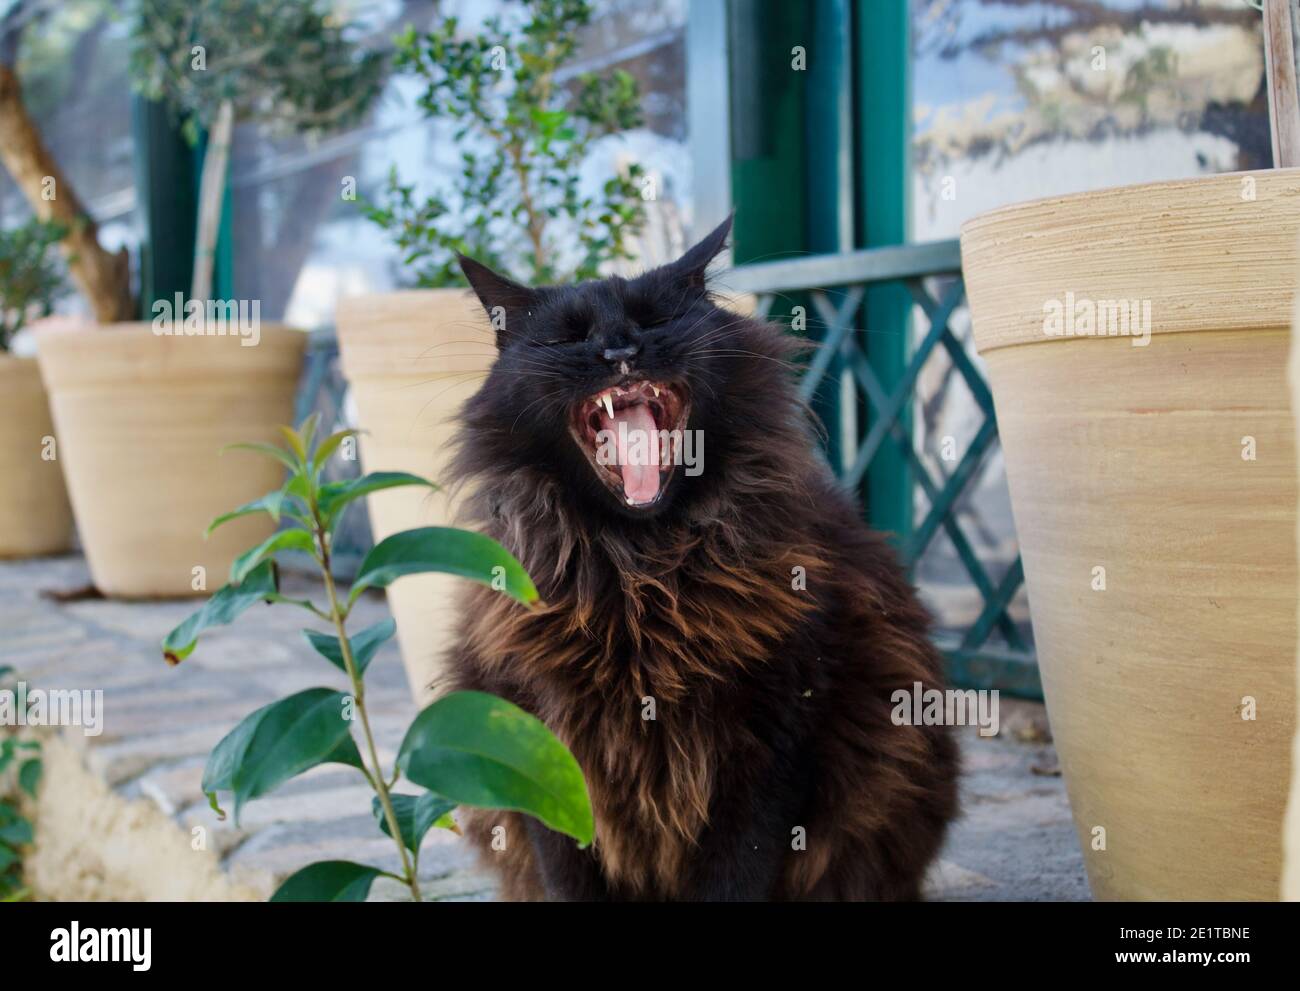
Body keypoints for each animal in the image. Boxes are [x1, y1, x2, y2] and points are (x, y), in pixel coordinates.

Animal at [441, 215, 961, 894]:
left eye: (655, 320)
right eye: (570, 336)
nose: (619, 352)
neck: (640, 578)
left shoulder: (773, 741)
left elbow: (737, 873)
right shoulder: (535, 745)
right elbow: (565, 874)